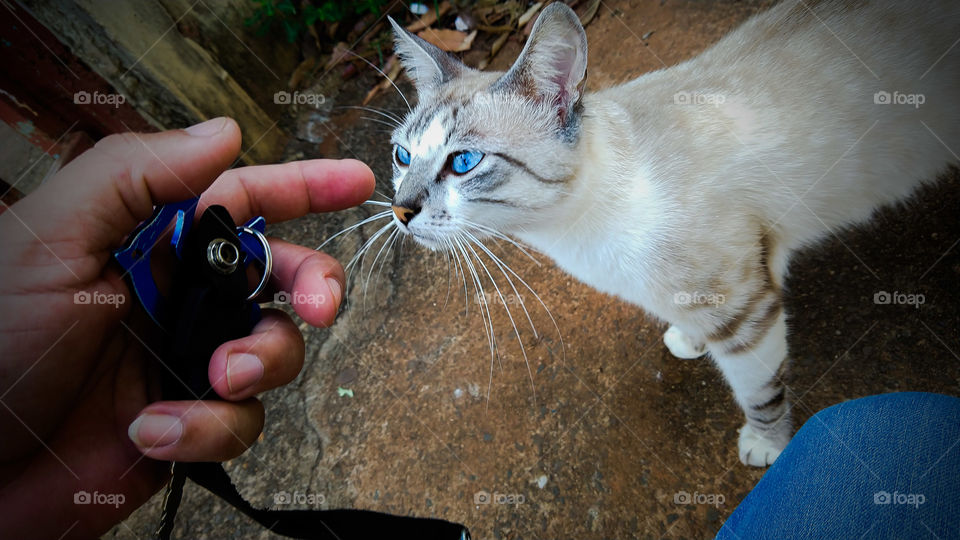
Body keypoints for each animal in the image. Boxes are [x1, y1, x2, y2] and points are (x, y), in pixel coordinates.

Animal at [382, 0, 960, 466]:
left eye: (464, 162)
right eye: (402, 156)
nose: (400, 210)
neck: (578, 235)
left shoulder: (745, 309)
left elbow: (761, 392)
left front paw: (767, 446)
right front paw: (687, 339)